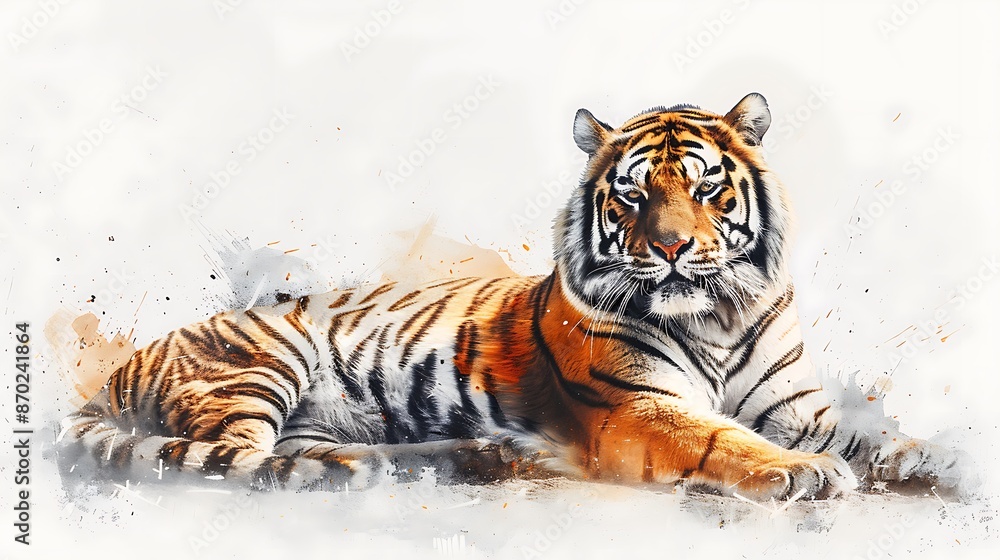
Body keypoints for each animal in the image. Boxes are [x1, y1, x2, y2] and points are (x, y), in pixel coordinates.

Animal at [57, 93, 968, 502]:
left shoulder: (797, 407)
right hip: (259, 363)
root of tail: (124, 365)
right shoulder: (637, 410)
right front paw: (801, 473)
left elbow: (866, 433)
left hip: (324, 414)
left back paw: (454, 458)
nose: (673, 247)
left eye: (706, 189)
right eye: (633, 196)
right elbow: (724, 440)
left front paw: (939, 459)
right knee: (232, 457)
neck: (716, 317)